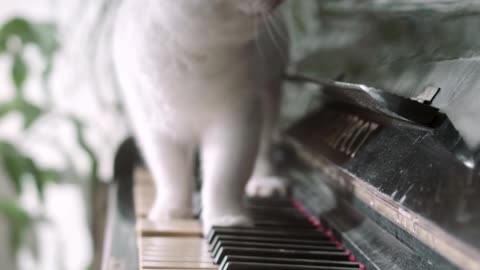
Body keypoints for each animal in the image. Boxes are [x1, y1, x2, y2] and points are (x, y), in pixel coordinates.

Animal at [112, 0, 288, 232]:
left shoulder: (236, 121)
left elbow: (224, 178)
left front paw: (226, 220)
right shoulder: (154, 131)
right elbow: (171, 176)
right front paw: (171, 213)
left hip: (270, 94)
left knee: (265, 149)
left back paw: (264, 184)